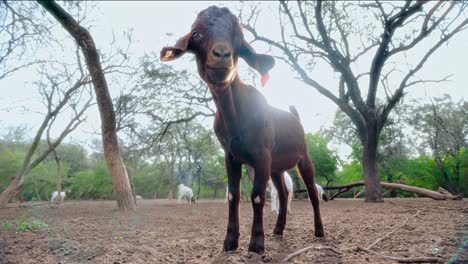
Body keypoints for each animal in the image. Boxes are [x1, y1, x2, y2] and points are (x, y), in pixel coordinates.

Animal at [163, 5, 324, 254]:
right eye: (196, 33)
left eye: (240, 37)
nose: (222, 54)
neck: (236, 117)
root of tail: (294, 117)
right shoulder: (231, 156)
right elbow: (232, 195)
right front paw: (230, 242)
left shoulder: (261, 154)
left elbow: (257, 196)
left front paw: (256, 244)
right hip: (276, 166)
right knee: (284, 193)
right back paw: (278, 230)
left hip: (303, 156)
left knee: (312, 192)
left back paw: (319, 232)